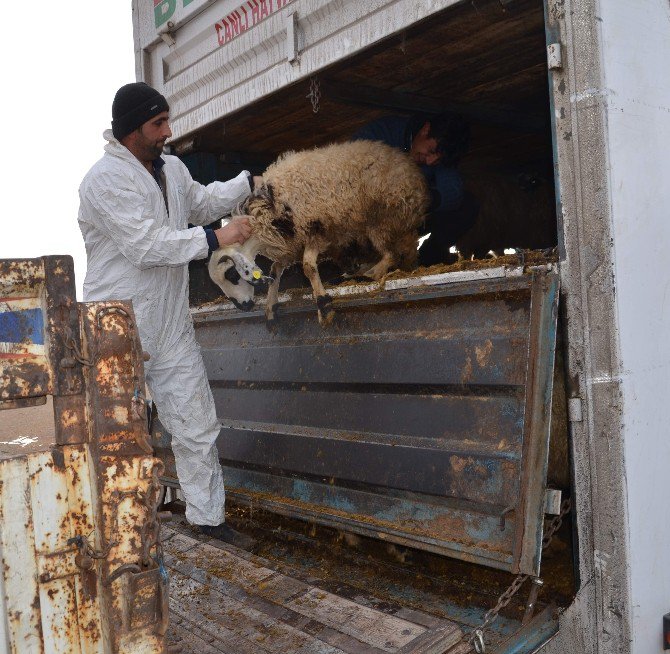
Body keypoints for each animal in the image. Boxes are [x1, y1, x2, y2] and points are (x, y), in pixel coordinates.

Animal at [210, 141, 430, 326]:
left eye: (231, 274)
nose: (244, 307)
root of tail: (408, 164)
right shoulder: (292, 244)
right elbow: (274, 270)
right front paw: (271, 309)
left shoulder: (317, 232)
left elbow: (308, 266)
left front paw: (324, 307)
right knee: (406, 250)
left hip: (382, 218)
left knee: (391, 253)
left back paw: (370, 273)